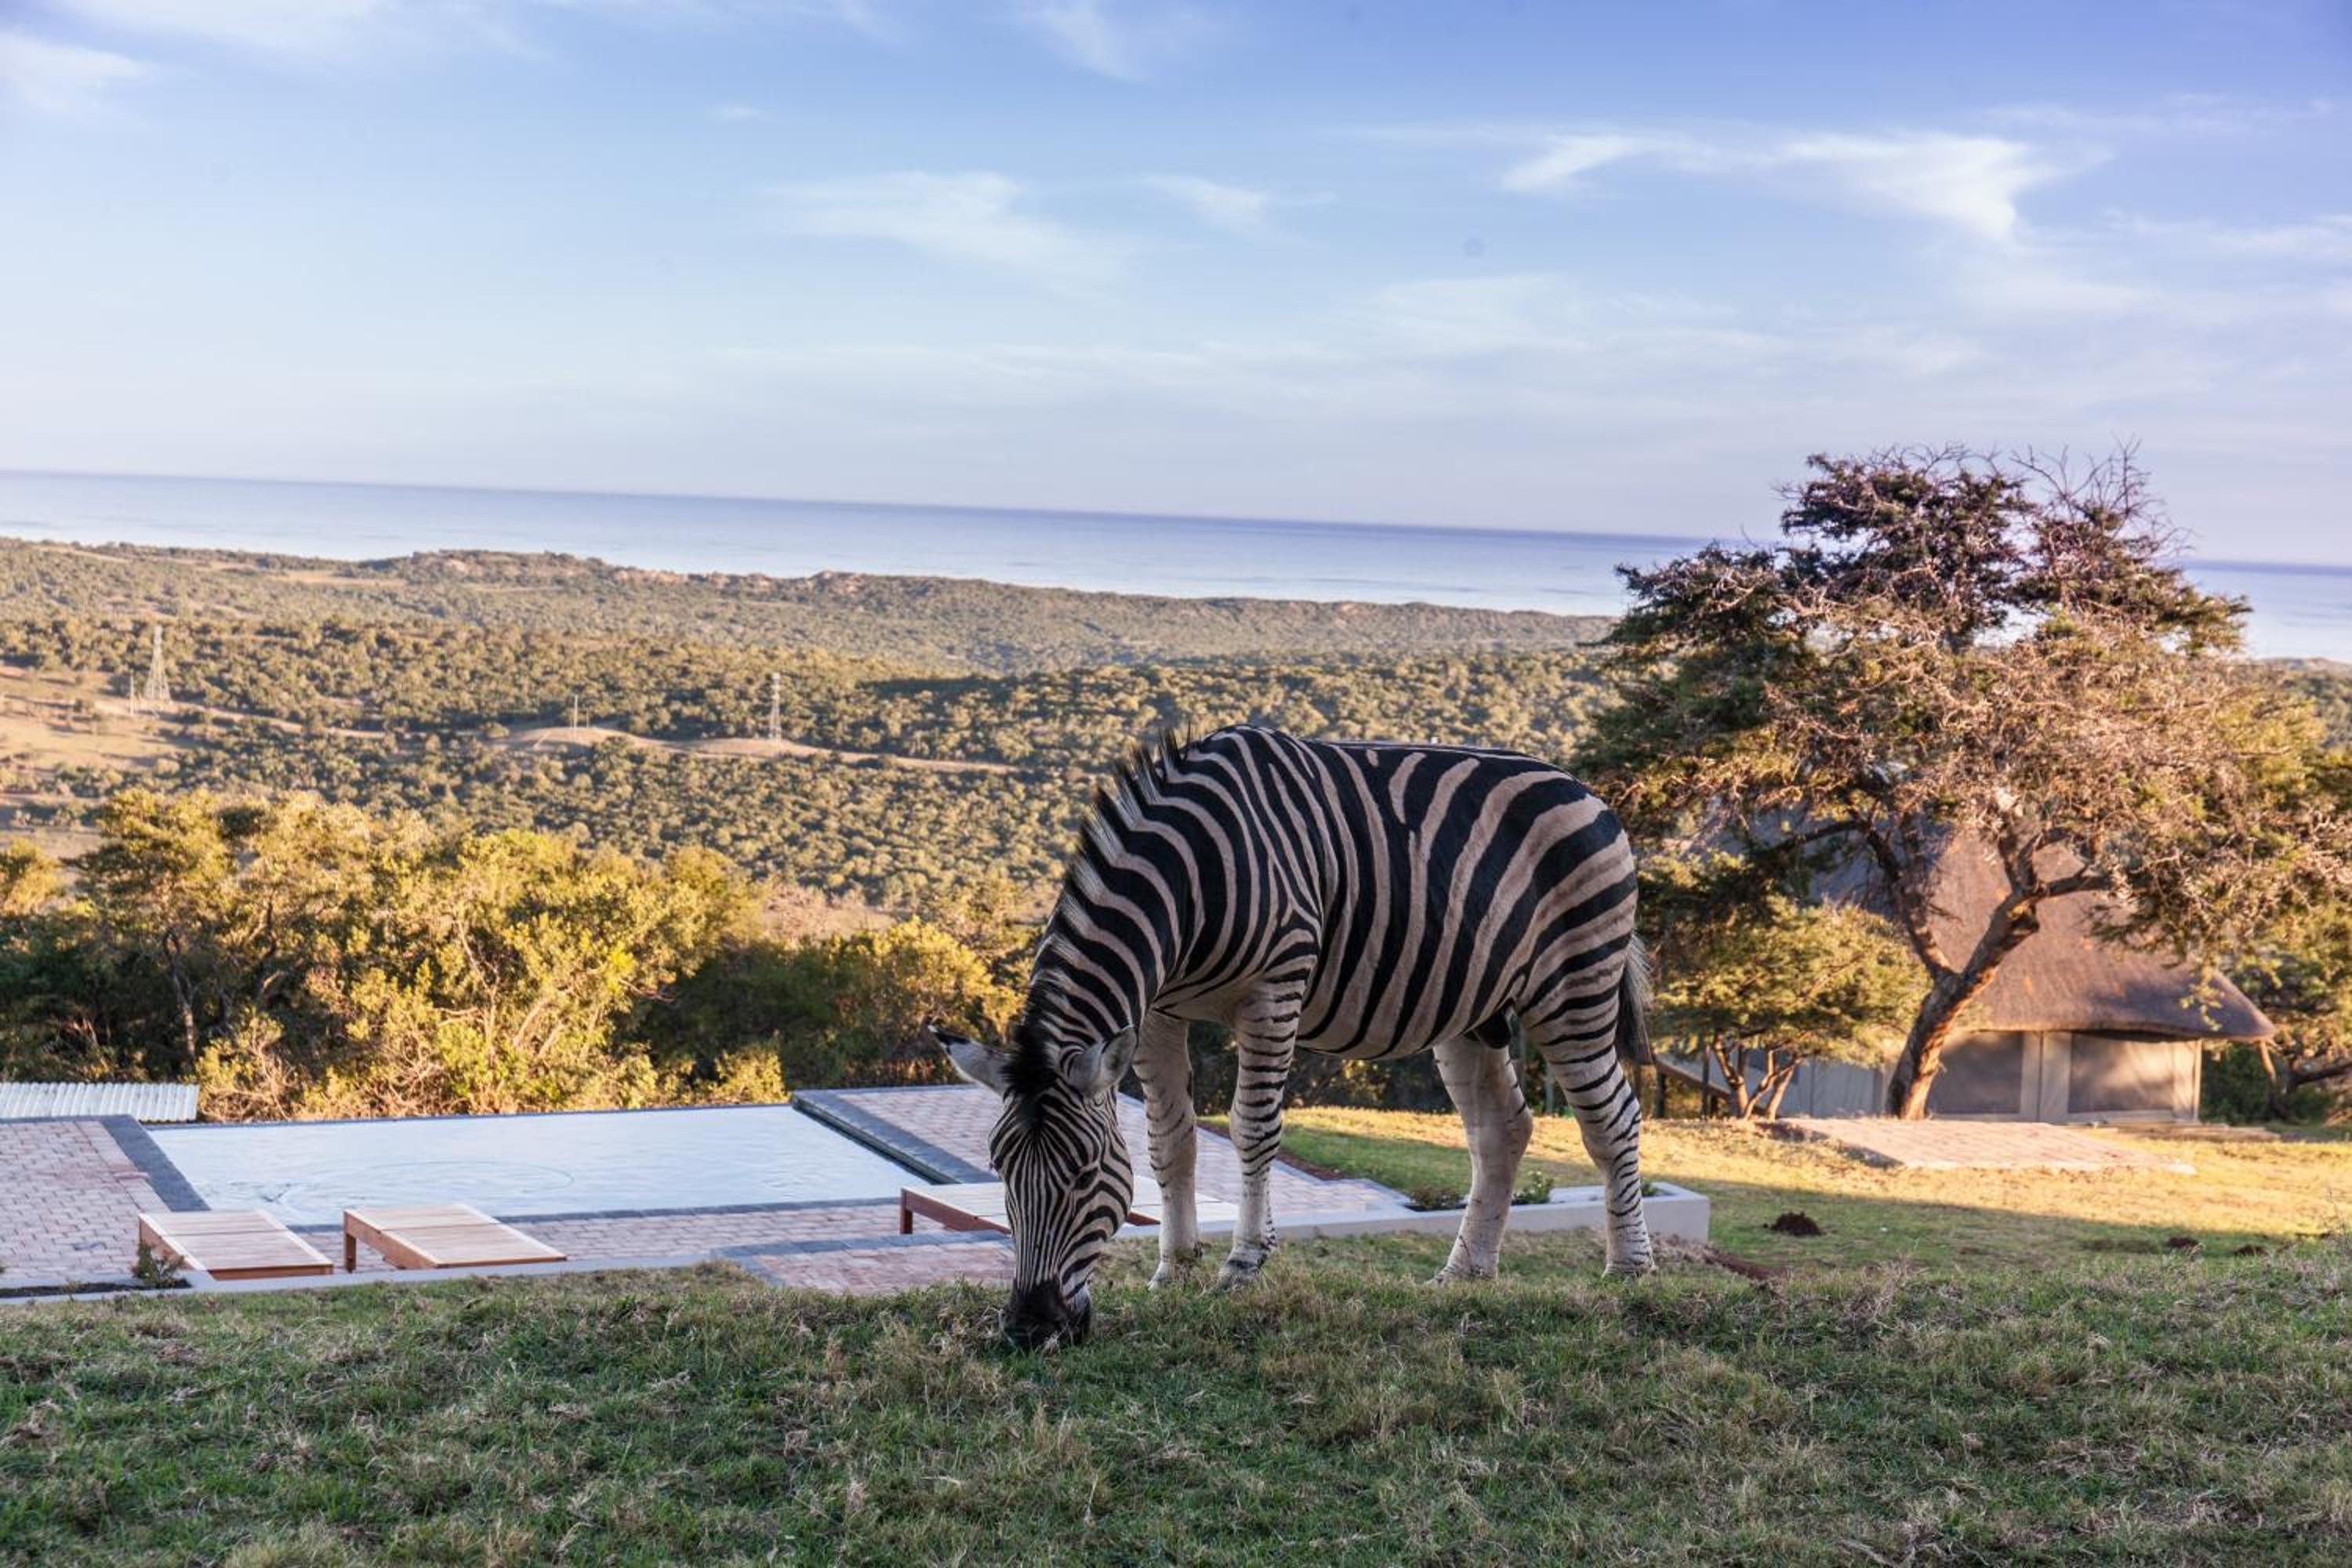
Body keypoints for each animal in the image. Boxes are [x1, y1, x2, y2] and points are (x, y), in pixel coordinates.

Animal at [931, 724, 1653, 1349]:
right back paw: (1464, 1274)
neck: (1189, 878)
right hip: (1471, 1010)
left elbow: (1251, 1128)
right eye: (1000, 1168)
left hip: (1573, 987)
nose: (1029, 1329)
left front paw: (1243, 1265)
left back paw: (1630, 1272)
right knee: (1502, 1129)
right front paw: (1174, 1270)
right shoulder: (1158, 1010)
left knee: (1614, 1118)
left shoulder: (1274, 988)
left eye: (1084, 1174)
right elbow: (1171, 1141)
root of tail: (1585, 788)